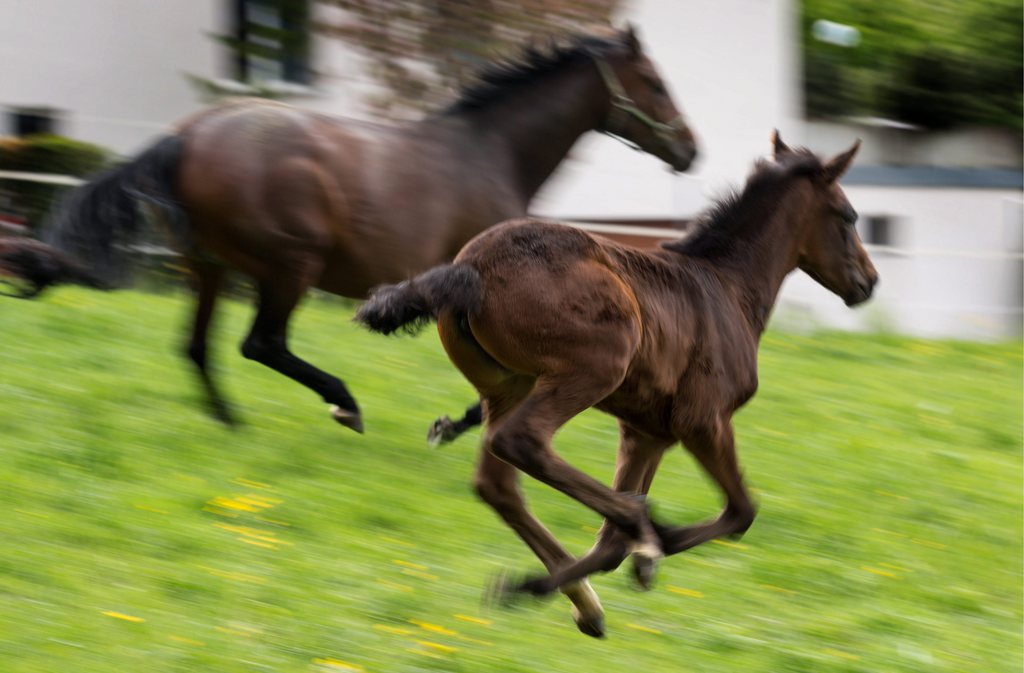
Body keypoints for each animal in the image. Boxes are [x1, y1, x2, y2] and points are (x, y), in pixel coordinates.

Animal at [39, 27, 696, 430]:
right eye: (656, 84)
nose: (691, 150)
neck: (492, 152)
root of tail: (187, 134)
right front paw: (459, 424)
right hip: (290, 265)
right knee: (261, 343)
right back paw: (343, 404)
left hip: (207, 268)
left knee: (197, 346)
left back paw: (231, 422)